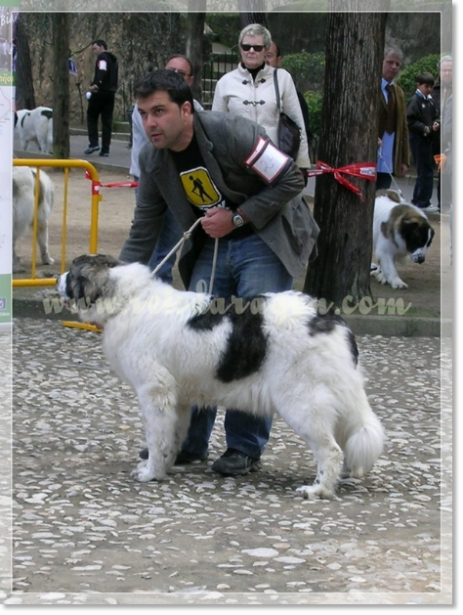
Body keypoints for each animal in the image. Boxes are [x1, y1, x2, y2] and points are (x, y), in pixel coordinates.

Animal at [56, 255, 386, 500]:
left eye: (71, 272)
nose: (57, 280)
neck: (128, 299)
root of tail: (330, 318)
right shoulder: (177, 399)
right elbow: (171, 437)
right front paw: (166, 466)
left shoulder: (154, 391)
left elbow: (156, 436)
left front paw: (150, 473)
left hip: (301, 402)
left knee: (331, 450)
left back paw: (319, 489)